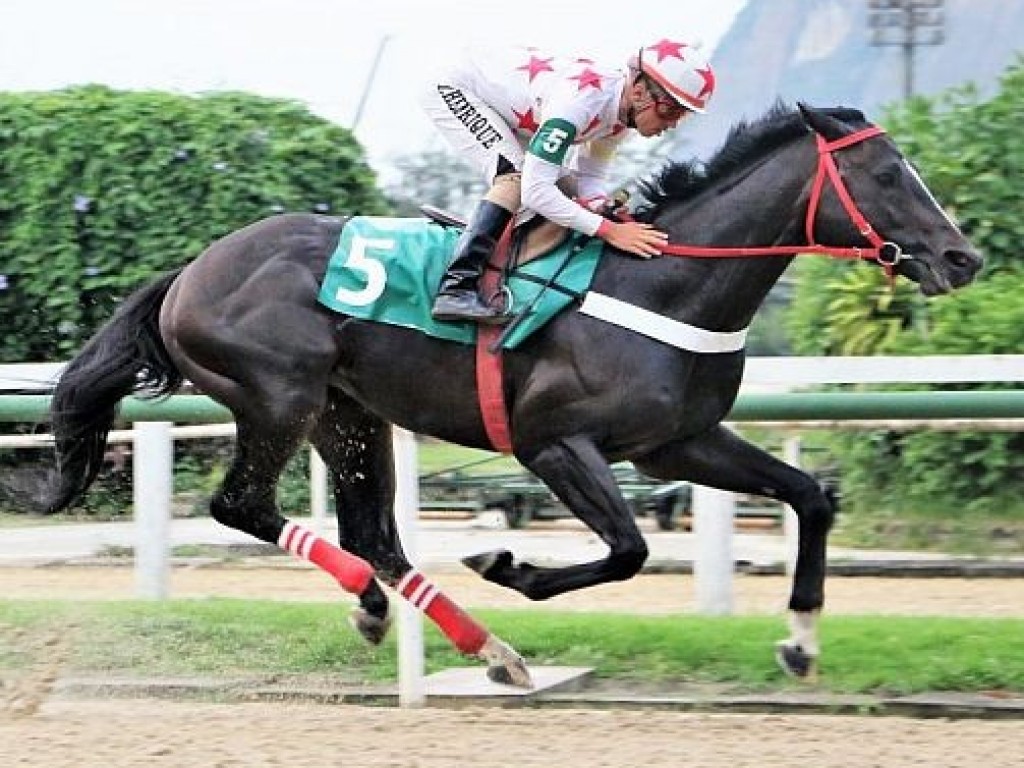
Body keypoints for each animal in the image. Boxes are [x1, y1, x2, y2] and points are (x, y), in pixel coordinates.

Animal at [34, 102, 983, 684]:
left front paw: (800, 642)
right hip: (278, 397)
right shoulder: (551, 443)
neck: (662, 285)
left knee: (374, 536)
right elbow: (629, 549)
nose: (963, 256)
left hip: (349, 412)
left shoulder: (678, 443)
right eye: (889, 175)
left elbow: (810, 498)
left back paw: (464, 640)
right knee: (244, 506)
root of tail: (192, 269)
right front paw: (510, 565)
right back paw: (409, 610)